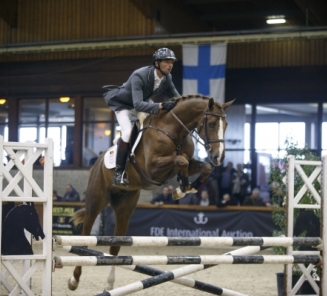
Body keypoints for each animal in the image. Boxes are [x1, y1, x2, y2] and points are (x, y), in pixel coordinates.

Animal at [68, 94, 233, 292]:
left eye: (226, 125)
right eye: (212, 124)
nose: (219, 157)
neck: (173, 130)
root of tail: (97, 163)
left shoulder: (187, 162)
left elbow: (202, 166)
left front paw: (184, 188)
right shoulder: (153, 168)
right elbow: (181, 160)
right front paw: (183, 186)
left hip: (125, 207)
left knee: (115, 247)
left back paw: (109, 285)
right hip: (95, 201)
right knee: (84, 239)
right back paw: (74, 280)